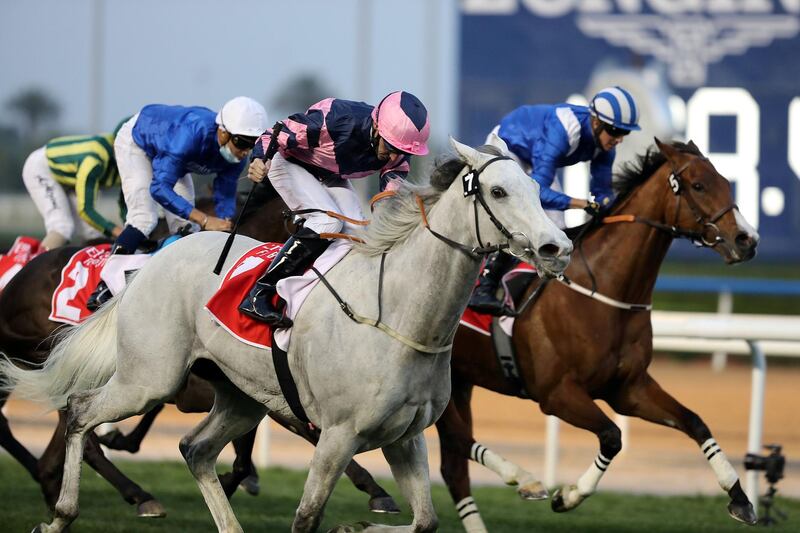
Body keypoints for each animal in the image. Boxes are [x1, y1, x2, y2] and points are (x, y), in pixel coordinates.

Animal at [0, 184, 400, 516]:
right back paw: (134, 495)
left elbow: (250, 448)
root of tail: (17, 280)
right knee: (76, 427)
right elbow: (302, 432)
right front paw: (376, 490)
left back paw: (57, 485)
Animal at [434, 139, 760, 528]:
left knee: (454, 464)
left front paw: (740, 498)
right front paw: (568, 496)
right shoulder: (557, 393)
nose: (748, 239)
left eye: (725, 181)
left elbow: (695, 423)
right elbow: (612, 436)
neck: (604, 292)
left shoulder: (629, 389)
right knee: (455, 436)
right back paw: (525, 480)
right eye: (698, 185)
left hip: (460, 380)